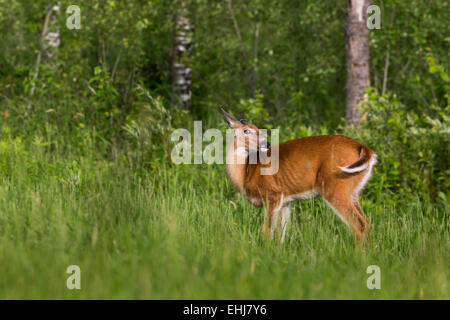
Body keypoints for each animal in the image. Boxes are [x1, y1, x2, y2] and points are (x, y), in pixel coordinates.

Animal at [224, 110, 376, 245]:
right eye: (246, 130)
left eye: (258, 129)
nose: (266, 144)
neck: (245, 173)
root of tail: (364, 148)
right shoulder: (286, 201)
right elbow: (280, 234)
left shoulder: (273, 194)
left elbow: (267, 231)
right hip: (354, 191)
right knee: (367, 224)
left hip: (336, 187)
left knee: (358, 226)